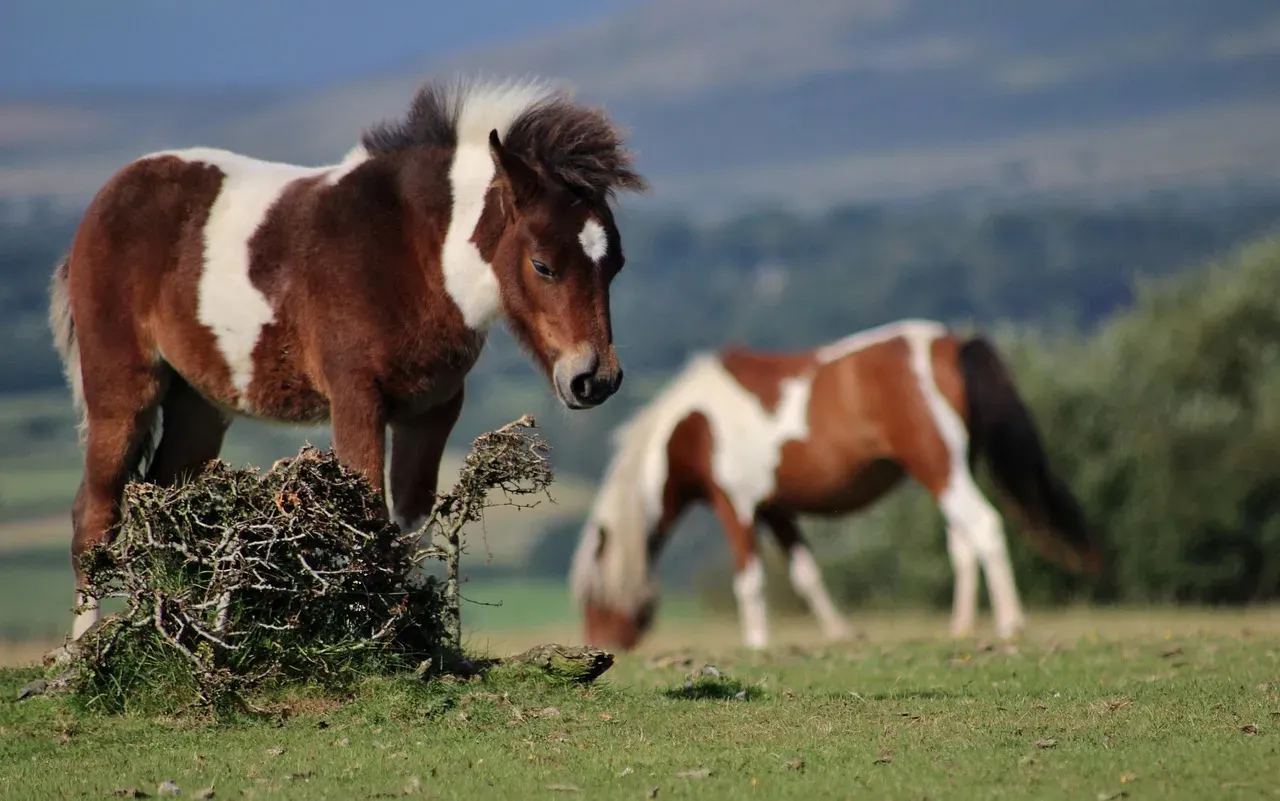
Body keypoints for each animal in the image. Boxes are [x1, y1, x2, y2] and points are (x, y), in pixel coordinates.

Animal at [48, 77, 648, 642]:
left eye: (617, 264)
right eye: (543, 265)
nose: (595, 379)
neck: (413, 253)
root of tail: (105, 200)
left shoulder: (431, 409)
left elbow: (409, 526)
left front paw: (418, 640)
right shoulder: (357, 399)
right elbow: (368, 520)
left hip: (200, 403)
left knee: (170, 504)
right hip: (122, 390)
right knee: (96, 515)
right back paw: (83, 653)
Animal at [569, 319, 1102, 651]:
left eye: (592, 595)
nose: (601, 645)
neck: (694, 425)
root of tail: (952, 345)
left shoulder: (735, 504)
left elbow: (750, 581)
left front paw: (757, 643)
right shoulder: (776, 509)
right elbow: (807, 575)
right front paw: (841, 634)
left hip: (940, 468)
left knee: (985, 526)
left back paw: (1011, 623)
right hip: (950, 471)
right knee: (962, 541)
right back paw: (961, 628)